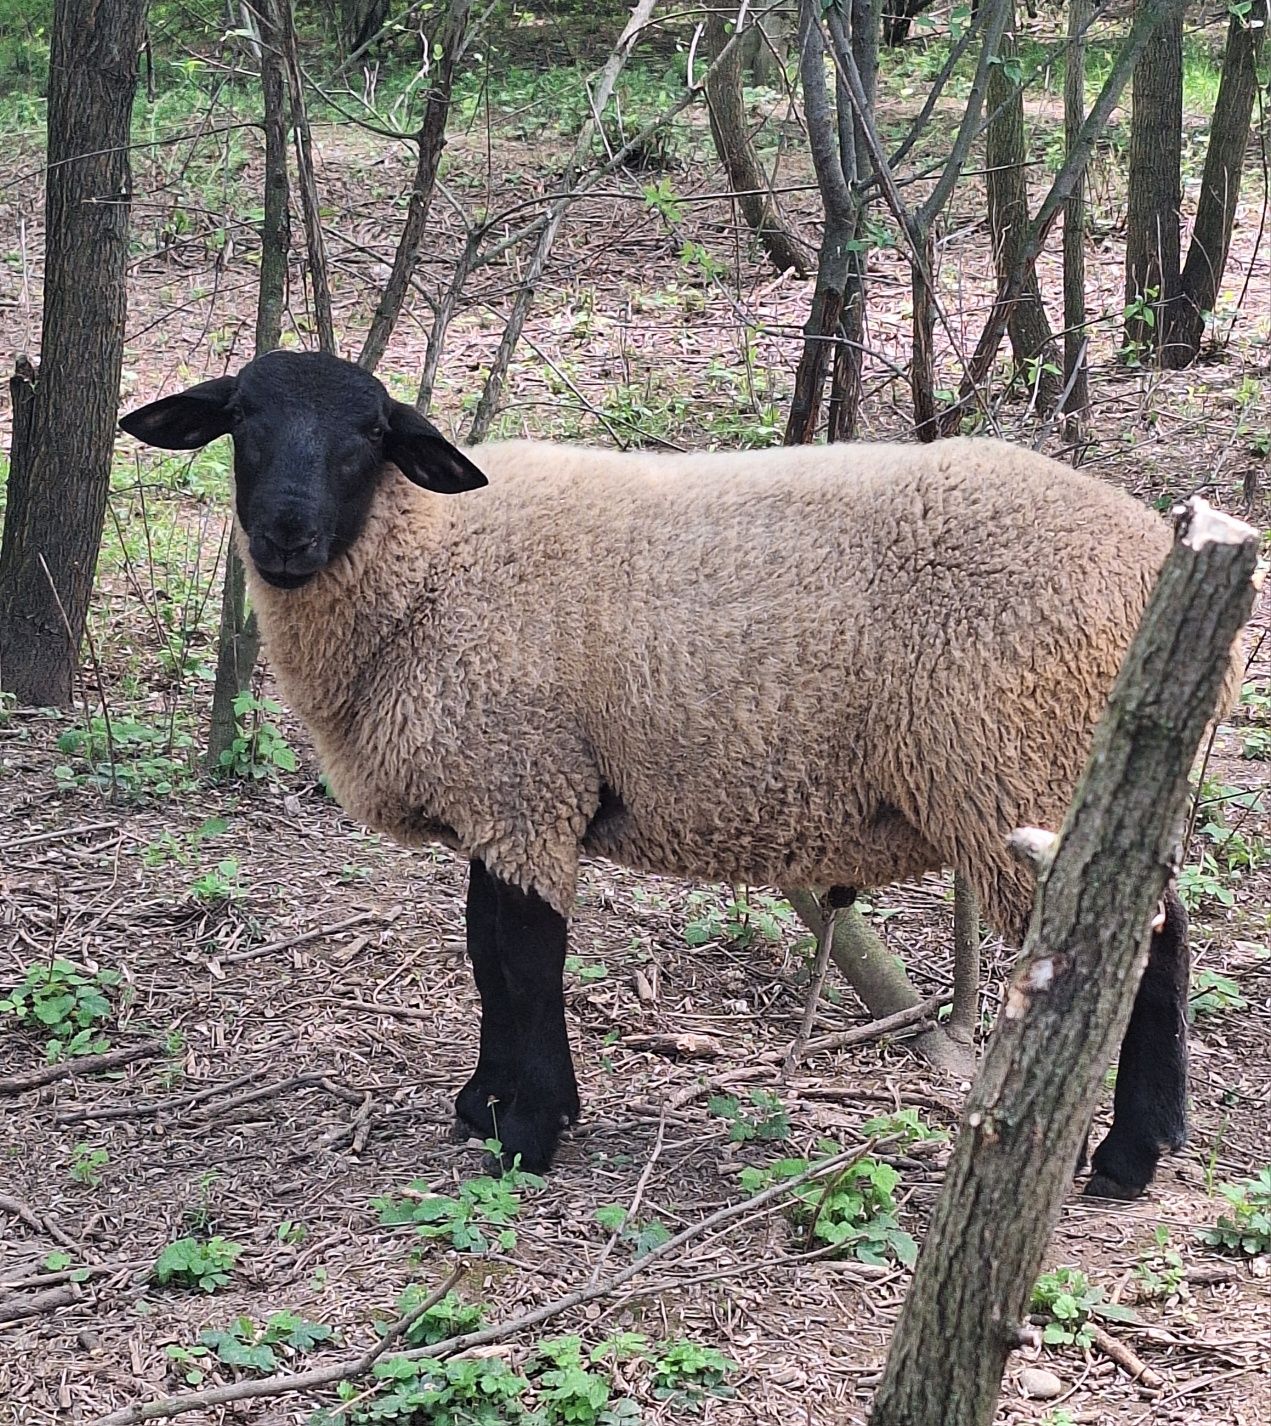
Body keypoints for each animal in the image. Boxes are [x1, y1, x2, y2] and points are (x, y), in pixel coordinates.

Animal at [121, 350, 1243, 1197]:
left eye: (366, 436)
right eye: (241, 421)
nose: (284, 533)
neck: (430, 562)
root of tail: (1153, 552)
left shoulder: (525, 782)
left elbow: (522, 961)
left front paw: (527, 1132)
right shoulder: (505, 795)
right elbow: (487, 955)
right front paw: (487, 1106)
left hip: (1021, 762)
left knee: (1138, 947)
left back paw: (1125, 1158)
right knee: (1164, 932)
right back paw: (1146, 1143)